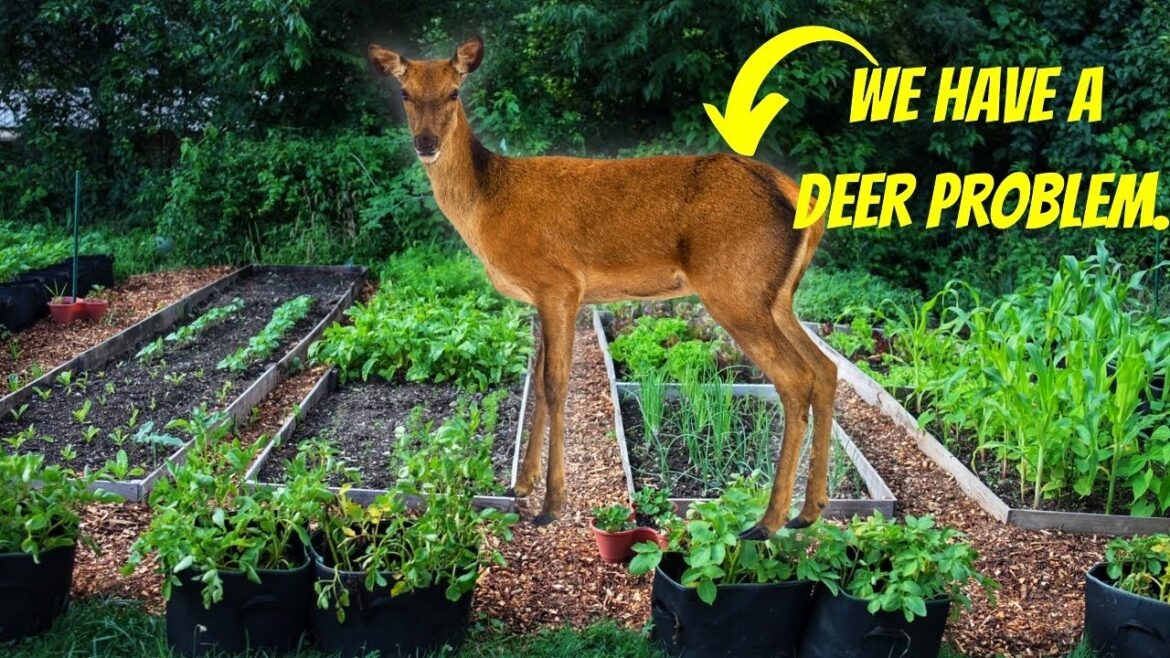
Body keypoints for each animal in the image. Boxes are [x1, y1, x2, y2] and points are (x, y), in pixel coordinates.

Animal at [368, 36, 836, 539]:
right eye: (404, 93)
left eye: (454, 92)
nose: (426, 143)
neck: (486, 208)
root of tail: (799, 196)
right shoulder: (537, 298)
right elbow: (536, 382)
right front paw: (521, 484)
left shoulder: (559, 283)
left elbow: (555, 384)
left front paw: (551, 503)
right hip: (776, 296)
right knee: (826, 369)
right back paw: (809, 511)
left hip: (735, 287)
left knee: (796, 379)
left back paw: (768, 521)